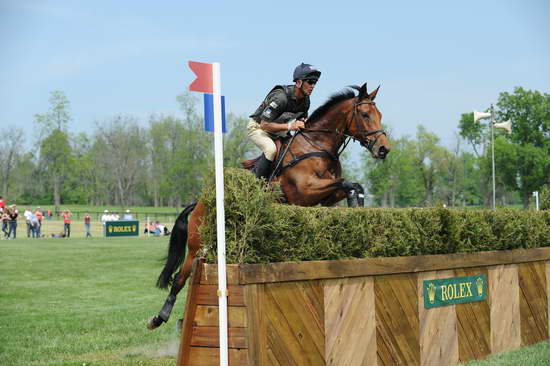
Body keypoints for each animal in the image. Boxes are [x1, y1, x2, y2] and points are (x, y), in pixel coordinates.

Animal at [148, 83, 392, 328]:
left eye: (380, 115)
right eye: (365, 114)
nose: (383, 149)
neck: (316, 145)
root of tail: (200, 203)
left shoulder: (326, 195)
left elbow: (353, 185)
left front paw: (357, 205)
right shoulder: (306, 190)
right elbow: (347, 183)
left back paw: (180, 320)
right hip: (197, 245)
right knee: (180, 277)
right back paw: (159, 317)